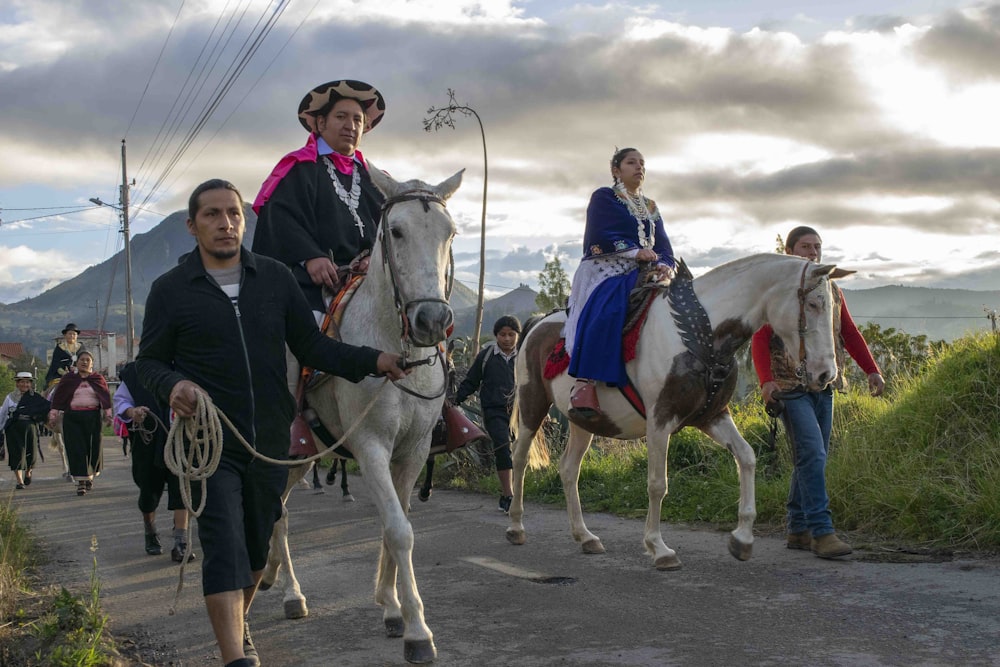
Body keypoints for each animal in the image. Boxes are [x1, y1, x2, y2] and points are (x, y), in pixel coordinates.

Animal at [258, 164, 460, 664]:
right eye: (396, 231)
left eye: (449, 232)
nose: (431, 320)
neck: (395, 351)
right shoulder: (371, 446)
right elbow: (399, 530)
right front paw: (417, 631)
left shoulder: (413, 451)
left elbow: (396, 522)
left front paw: (390, 606)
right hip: (288, 450)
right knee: (278, 510)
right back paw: (291, 593)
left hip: (307, 455)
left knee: (279, 506)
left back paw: (270, 575)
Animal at [504, 253, 848, 572]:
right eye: (814, 304)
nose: (825, 375)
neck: (701, 333)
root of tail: (537, 323)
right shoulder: (660, 419)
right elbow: (658, 484)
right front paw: (659, 548)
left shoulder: (712, 416)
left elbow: (747, 457)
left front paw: (742, 538)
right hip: (533, 403)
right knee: (519, 458)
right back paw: (516, 526)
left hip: (582, 421)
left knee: (568, 469)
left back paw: (584, 536)